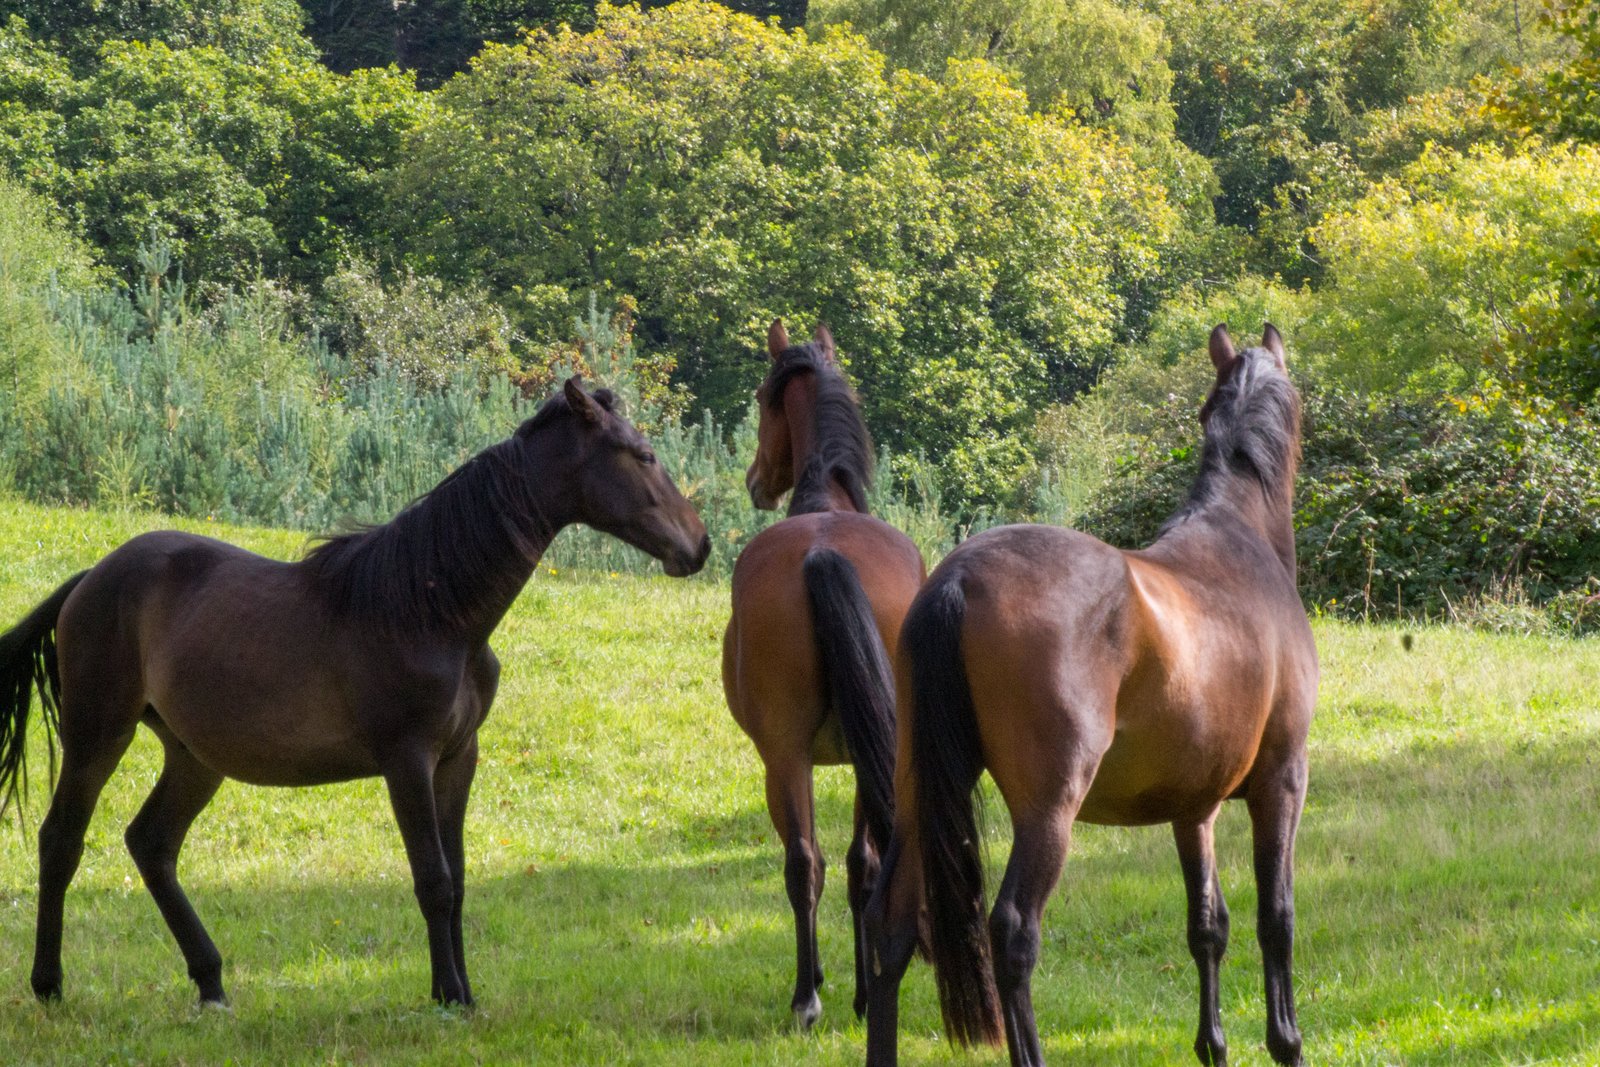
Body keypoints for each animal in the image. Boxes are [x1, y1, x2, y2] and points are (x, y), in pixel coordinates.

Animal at [0, 377, 709, 1009]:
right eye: (643, 454)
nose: (698, 545)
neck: (432, 610)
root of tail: (91, 578)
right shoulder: (407, 761)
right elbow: (434, 881)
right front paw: (450, 997)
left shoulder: (458, 760)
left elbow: (457, 881)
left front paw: (459, 991)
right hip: (99, 735)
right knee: (61, 840)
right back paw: (49, 984)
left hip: (194, 757)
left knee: (151, 845)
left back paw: (211, 983)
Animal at [722, 320, 925, 1028]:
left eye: (761, 399)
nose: (756, 479)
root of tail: (822, 553)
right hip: (875, 748)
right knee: (864, 863)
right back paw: (864, 994)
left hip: (784, 757)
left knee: (804, 864)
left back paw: (806, 997)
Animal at [865, 325, 1317, 1067]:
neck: (1240, 540)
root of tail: (958, 576)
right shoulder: (1282, 779)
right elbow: (1275, 915)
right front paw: (1287, 1041)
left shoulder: (1193, 810)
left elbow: (1207, 925)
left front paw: (1213, 1045)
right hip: (1049, 810)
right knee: (1013, 933)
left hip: (913, 795)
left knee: (890, 929)